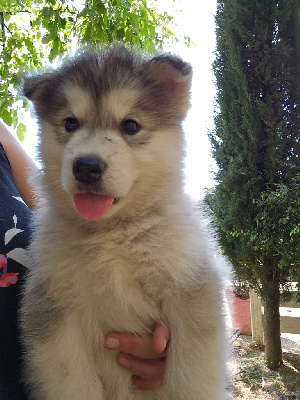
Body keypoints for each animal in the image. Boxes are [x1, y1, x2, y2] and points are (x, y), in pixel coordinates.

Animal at [21, 44, 227, 400]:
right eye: (70, 123)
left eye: (130, 126)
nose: (86, 166)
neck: (112, 236)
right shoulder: (53, 313)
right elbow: (73, 382)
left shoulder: (191, 289)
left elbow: (191, 378)